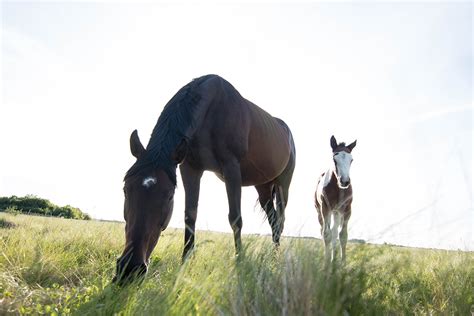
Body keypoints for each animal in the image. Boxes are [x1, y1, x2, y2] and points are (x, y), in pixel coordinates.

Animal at [113, 74, 294, 282]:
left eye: (169, 196)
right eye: (125, 189)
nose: (130, 269)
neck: (212, 113)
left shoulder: (232, 169)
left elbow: (235, 218)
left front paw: (240, 261)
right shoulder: (190, 168)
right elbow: (190, 215)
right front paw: (185, 262)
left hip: (283, 186)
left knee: (280, 221)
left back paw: (276, 260)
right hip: (263, 187)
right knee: (274, 221)